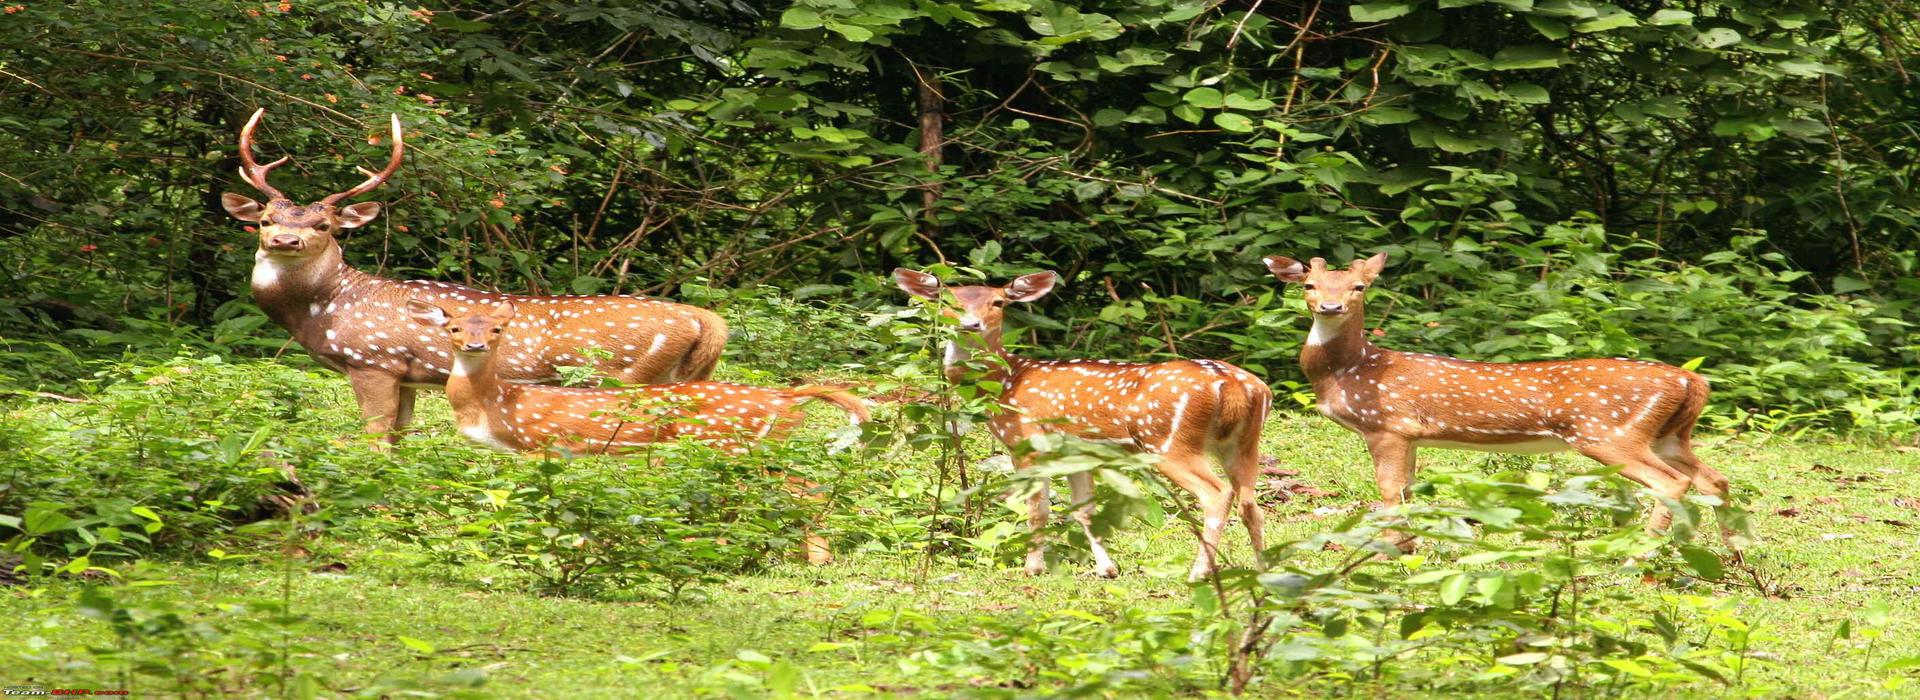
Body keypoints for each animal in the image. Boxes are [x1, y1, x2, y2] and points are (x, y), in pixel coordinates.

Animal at [219, 107, 725, 441]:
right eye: (265, 220)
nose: (285, 241)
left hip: (620, 374)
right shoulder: (407, 376)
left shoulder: (372, 361)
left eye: (323, 226)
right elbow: (399, 439)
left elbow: (375, 438)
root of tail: (704, 320)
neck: (325, 309)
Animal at [416, 299, 875, 560]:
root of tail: (786, 397)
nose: (475, 345)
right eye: (454, 328)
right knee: (808, 486)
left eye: (497, 329)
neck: (496, 404)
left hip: (729, 447)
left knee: (793, 491)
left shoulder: (538, 442)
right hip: (760, 449)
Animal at [894, 266, 1274, 579]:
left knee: (1217, 494)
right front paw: (1107, 569)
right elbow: (1084, 512)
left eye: (998, 302)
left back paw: (1200, 572)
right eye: (947, 300)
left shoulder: (1027, 443)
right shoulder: (1077, 455)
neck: (1005, 382)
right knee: (1251, 504)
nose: (970, 324)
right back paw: (1263, 570)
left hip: (1166, 441)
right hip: (1244, 443)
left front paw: (1033, 568)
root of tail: (1236, 385)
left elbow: (1037, 510)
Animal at [1267, 251, 1735, 552]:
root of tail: (1692, 380)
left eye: (1359, 286)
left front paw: (1387, 550)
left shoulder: (1387, 425)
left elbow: (1388, 491)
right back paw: (1735, 553)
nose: (1330, 305)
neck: (1351, 371)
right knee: (1715, 479)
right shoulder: (1411, 435)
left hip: (1609, 432)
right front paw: (1410, 547)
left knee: (1673, 483)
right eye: (1309, 285)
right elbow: (1407, 489)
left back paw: (1642, 554)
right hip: (1669, 435)